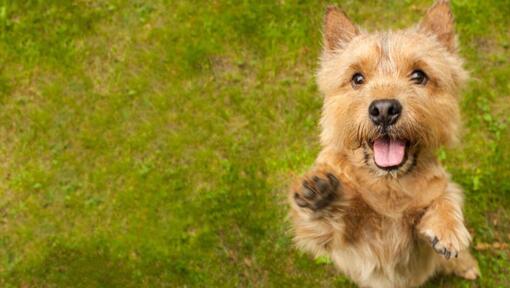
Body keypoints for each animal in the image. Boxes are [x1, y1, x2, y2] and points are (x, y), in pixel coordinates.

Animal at [288, 1, 480, 286]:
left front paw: (446, 227)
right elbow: (330, 225)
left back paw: (467, 266)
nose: (384, 109)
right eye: (357, 78)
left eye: (419, 75)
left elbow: (444, 196)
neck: (389, 184)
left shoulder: (433, 197)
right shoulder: (353, 242)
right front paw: (321, 195)